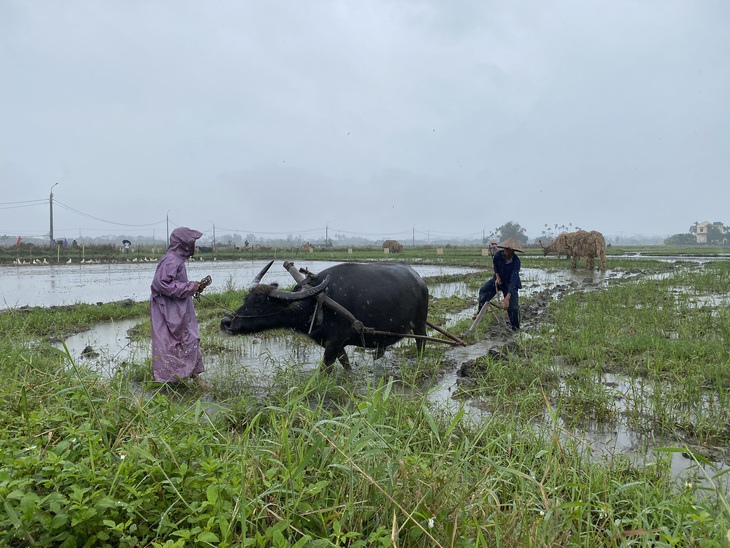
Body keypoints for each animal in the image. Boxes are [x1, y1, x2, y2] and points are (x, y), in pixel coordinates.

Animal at [219, 262, 430, 372]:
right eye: (246, 298)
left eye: (259, 302)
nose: (226, 322)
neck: (316, 304)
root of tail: (420, 280)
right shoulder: (334, 344)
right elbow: (345, 364)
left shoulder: (333, 344)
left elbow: (324, 370)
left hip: (419, 325)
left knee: (422, 343)